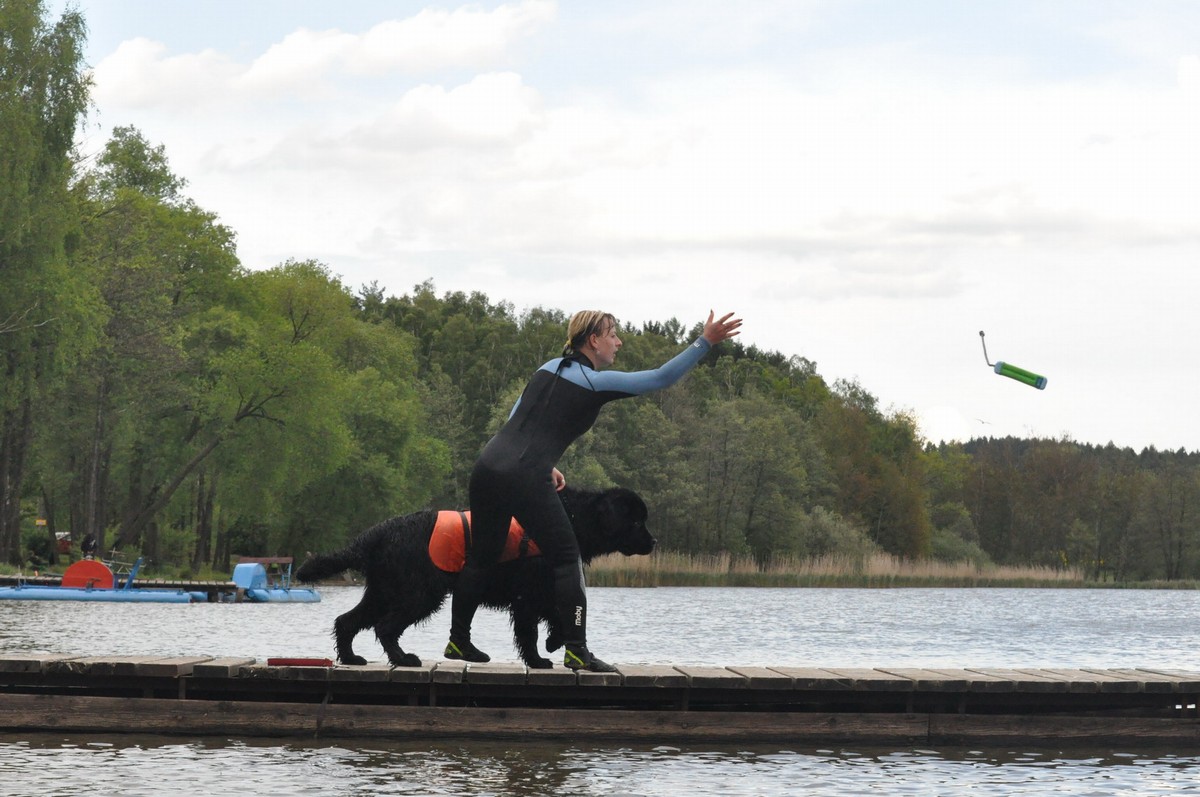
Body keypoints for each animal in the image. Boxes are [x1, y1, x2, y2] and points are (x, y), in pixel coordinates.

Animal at [295, 486, 655, 668]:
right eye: (637, 521)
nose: (654, 542)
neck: (569, 518)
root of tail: (377, 532)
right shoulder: (528, 594)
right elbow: (532, 631)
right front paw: (540, 658)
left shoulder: (541, 589)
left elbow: (556, 616)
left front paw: (554, 643)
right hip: (419, 594)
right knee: (384, 627)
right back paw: (404, 658)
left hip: (384, 591)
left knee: (347, 621)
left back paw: (352, 658)